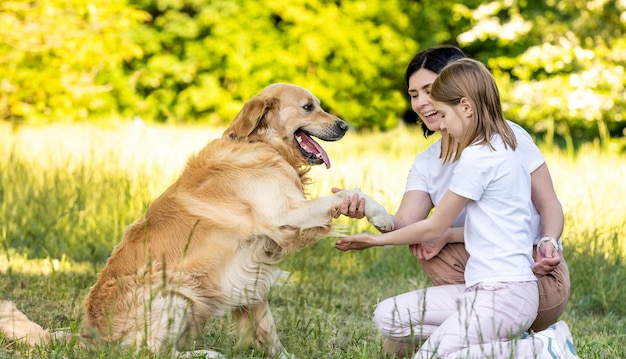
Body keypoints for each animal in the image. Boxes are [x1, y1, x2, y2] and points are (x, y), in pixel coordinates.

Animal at [0, 85, 390, 359]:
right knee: (147, 352)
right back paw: (205, 353)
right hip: (175, 293)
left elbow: (266, 327)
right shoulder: (284, 218)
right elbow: (346, 194)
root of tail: (89, 336)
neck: (262, 146)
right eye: (309, 107)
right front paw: (381, 215)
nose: (344, 125)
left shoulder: (253, 267)